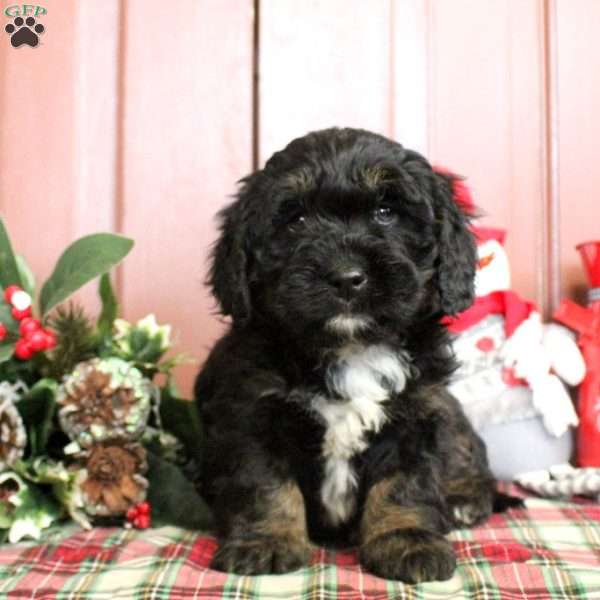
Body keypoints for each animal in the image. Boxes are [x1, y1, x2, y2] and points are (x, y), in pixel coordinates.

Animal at [196, 126, 510, 580]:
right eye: (296, 220)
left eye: (385, 212)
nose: (346, 277)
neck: (351, 348)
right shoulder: (252, 412)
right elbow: (264, 482)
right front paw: (266, 540)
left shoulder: (418, 412)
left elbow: (404, 485)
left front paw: (406, 540)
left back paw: (464, 500)